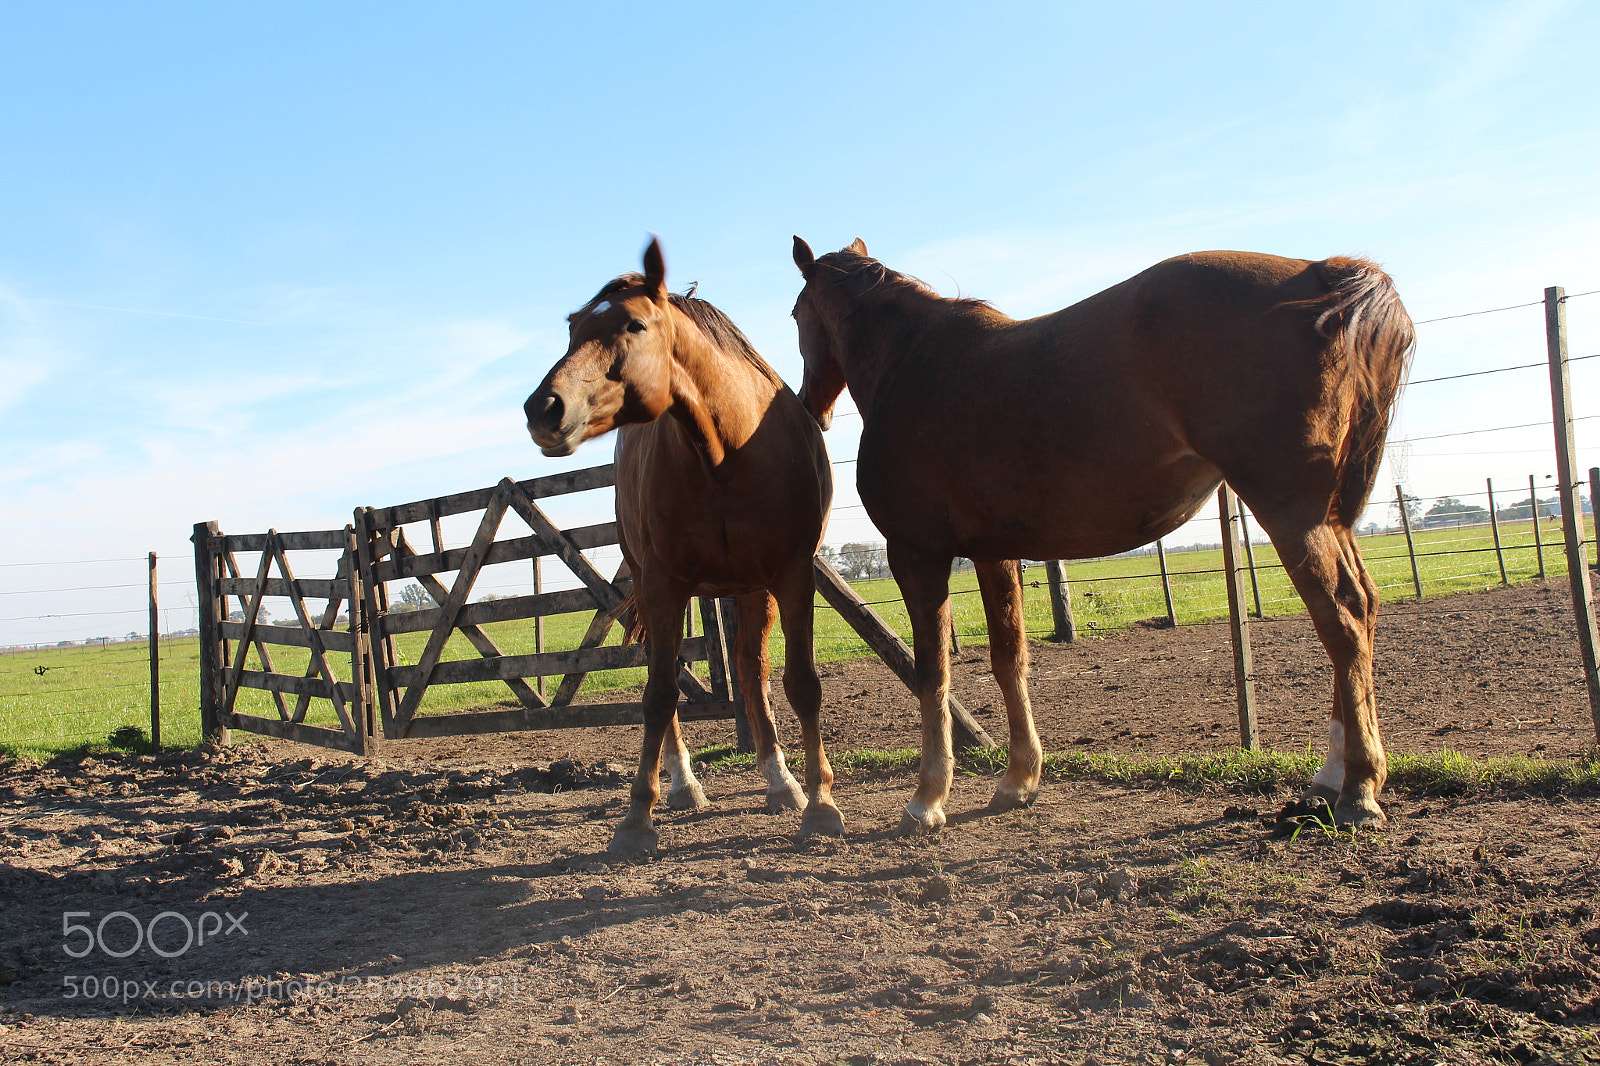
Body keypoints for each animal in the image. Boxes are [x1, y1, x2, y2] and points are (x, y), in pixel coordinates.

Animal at [525, 237, 839, 854]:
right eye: (573, 327)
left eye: (634, 324)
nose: (543, 409)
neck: (726, 453)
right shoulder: (665, 584)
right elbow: (659, 692)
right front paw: (636, 818)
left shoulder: (792, 575)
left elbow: (800, 682)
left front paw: (820, 805)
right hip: (658, 585)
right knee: (669, 675)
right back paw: (683, 783)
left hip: (752, 590)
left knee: (750, 670)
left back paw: (779, 780)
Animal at [791, 237, 1414, 833]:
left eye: (797, 315)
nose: (810, 410)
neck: (912, 360)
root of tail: (1324, 275)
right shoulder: (993, 554)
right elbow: (1008, 659)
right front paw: (1018, 780)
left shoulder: (918, 554)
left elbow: (933, 674)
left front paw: (927, 799)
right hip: (1328, 517)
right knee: (1364, 606)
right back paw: (1331, 778)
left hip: (1289, 511)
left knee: (1342, 618)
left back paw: (1358, 789)